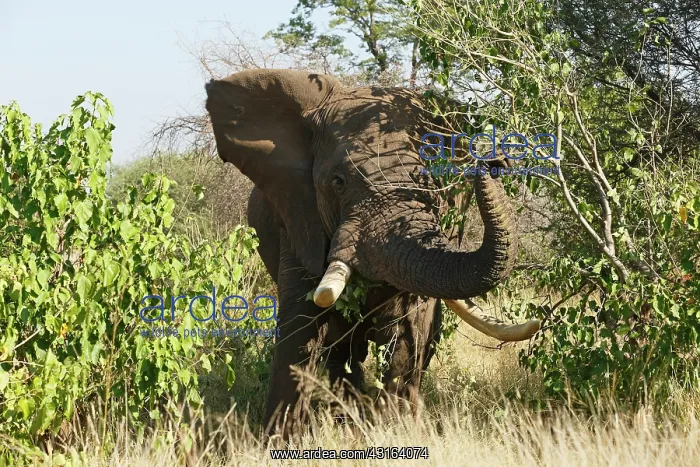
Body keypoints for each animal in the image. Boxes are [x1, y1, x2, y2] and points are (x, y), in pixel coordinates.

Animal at [204, 69, 540, 437]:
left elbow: (407, 329)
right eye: (337, 182)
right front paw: (278, 441)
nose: (495, 161)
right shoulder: (298, 219)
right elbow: (301, 324)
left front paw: (395, 429)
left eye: (434, 182)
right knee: (340, 348)